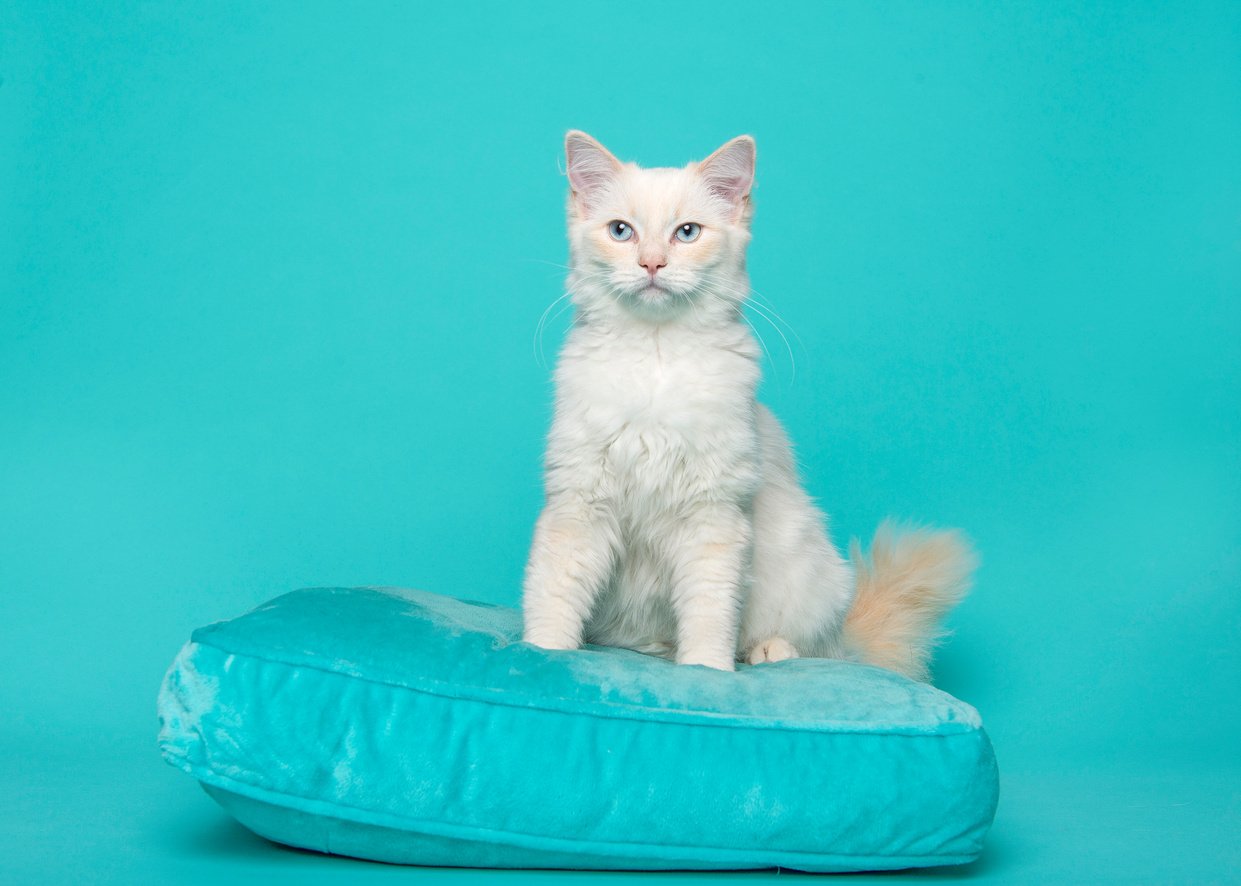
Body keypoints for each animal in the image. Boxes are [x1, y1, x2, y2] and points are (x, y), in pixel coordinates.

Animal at [518, 129, 972, 675]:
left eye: (687, 233)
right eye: (621, 231)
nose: (652, 264)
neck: (655, 356)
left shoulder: (713, 516)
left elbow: (710, 612)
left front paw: (706, 672)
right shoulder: (579, 504)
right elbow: (554, 594)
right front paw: (543, 654)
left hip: (811, 570)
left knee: (814, 647)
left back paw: (767, 653)